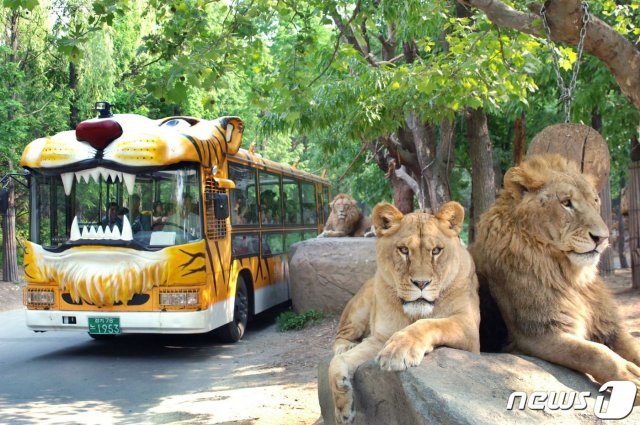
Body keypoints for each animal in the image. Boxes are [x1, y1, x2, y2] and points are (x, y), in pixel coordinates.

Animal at [330, 200, 480, 422]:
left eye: (436, 251)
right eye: (403, 250)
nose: (421, 283)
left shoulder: (470, 330)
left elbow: (433, 323)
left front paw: (400, 348)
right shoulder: (380, 338)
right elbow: (337, 362)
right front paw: (342, 411)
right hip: (359, 308)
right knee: (341, 335)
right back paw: (345, 345)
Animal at [470, 154, 640, 396]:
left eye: (595, 201)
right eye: (566, 203)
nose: (602, 238)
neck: (571, 278)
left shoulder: (609, 326)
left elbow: (632, 346)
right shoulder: (535, 334)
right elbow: (593, 352)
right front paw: (631, 378)